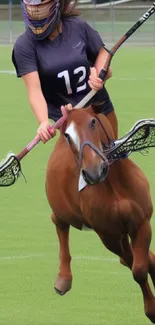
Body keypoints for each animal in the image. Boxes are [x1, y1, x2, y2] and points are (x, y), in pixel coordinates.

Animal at [45, 105, 155, 322]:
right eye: (68, 135)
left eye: (93, 122)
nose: (94, 171)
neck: (115, 185)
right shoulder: (108, 235)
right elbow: (135, 267)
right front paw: (152, 310)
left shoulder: (142, 223)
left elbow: (141, 266)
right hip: (65, 210)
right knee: (59, 221)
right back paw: (63, 279)